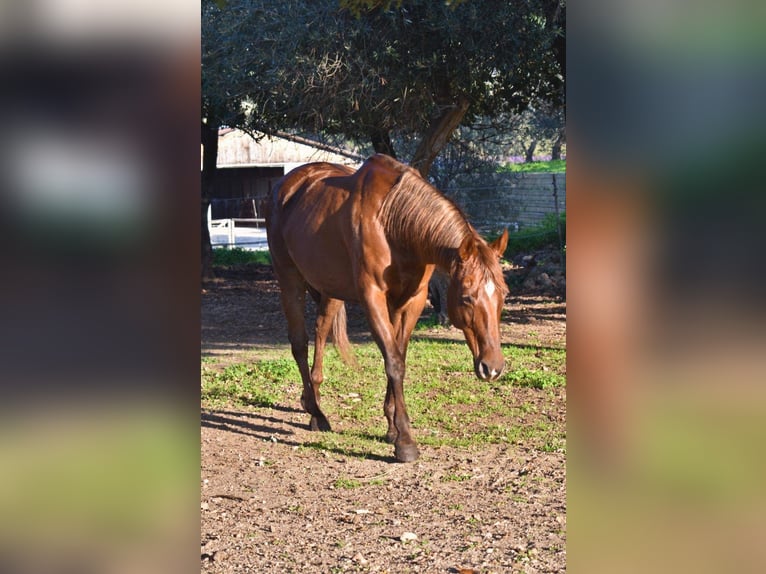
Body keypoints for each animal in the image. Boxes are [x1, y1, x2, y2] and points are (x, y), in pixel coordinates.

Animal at [264, 153, 510, 464]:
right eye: (466, 297)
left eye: (503, 295)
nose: (493, 367)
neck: (393, 221)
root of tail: (285, 186)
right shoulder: (373, 298)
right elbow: (393, 363)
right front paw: (405, 442)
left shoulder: (410, 300)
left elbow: (398, 356)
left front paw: (392, 427)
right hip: (289, 278)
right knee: (299, 343)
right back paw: (318, 415)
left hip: (329, 288)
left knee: (321, 332)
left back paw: (312, 401)